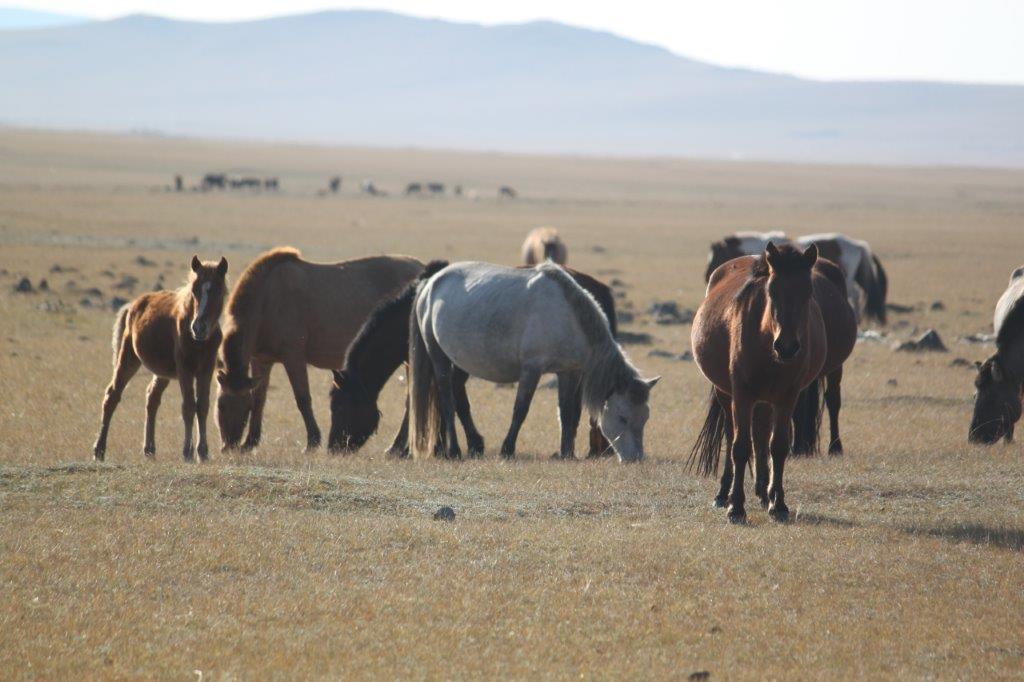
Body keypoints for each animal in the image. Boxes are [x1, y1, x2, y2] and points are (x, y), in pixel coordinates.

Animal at [93, 254, 229, 462]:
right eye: (195, 289)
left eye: (218, 289)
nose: (198, 327)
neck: (198, 341)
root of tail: (133, 305)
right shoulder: (184, 369)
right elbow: (188, 406)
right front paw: (187, 452)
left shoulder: (206, 369)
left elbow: (203, 406)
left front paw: (203, 452)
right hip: (129, 358)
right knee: (112, 395)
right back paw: (99, 450)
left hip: (162, 372)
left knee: (152, 398)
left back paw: (149, 449)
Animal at [216, 246, 423, 448]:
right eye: (220, 405)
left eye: (244, 407)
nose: (229, 445)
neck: (267, 299)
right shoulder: (261, 360)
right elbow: (260, 398)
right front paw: (250, 441)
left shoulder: (293, 357)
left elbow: (303, 399)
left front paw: (313, 440)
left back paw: (397, 447)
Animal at [329, 261, 614, 456]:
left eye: (339, 406)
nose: (334, 447)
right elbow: (452, 402)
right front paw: (461, 443)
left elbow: (432, 402)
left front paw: (411, 446)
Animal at [405, 260, 655, 462]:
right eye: (623, 418)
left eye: (645, 418)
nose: (636, 458)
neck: (566, 316)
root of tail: (430, 283)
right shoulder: (531, 369)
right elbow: (521, 409)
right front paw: (507, 449)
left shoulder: (569, 372)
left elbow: (567, 412)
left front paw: (566, 453)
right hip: (438, 356)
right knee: (447, 399)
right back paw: (455, 450)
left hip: (460, 362)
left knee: (458, 397)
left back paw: (475, 445)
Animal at [684, 242, 827, 520]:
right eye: (772, 291)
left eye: (808, 292)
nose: (787, 346)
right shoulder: (742, 394)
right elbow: (739, 447)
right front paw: (736, 506)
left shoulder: (787, 397)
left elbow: (778, 446)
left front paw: (778, 504)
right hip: (727, 395)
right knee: (733, 435)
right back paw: (724, 494)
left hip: (765, 401)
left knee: (761, 436)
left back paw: (763, 491)